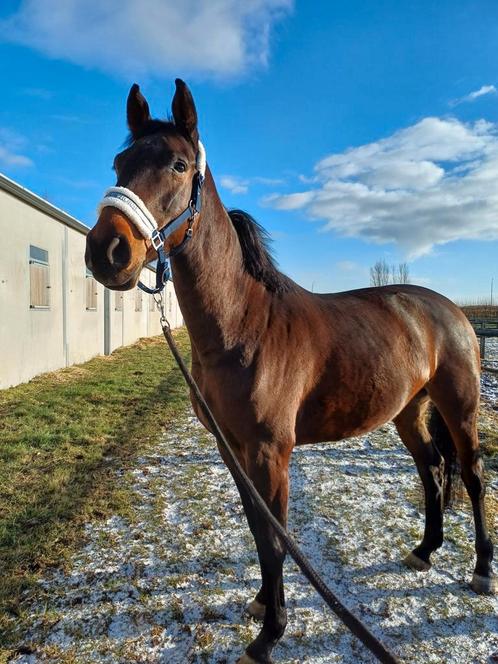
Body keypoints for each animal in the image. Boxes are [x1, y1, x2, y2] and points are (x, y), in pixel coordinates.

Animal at [85, 79, 494, 664]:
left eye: (179, 164)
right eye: (120, 163)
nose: (107, 251)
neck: (244, 325)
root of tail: (453, 312)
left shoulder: (270, 452)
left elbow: (277, 536)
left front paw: (270, 635)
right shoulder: (232, 450)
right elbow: (260, 532)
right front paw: (261, 604)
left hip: (460, 408)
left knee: (474, 477)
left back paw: (481, 570)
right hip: (408, 412)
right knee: (432, 470)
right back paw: (424, 550)